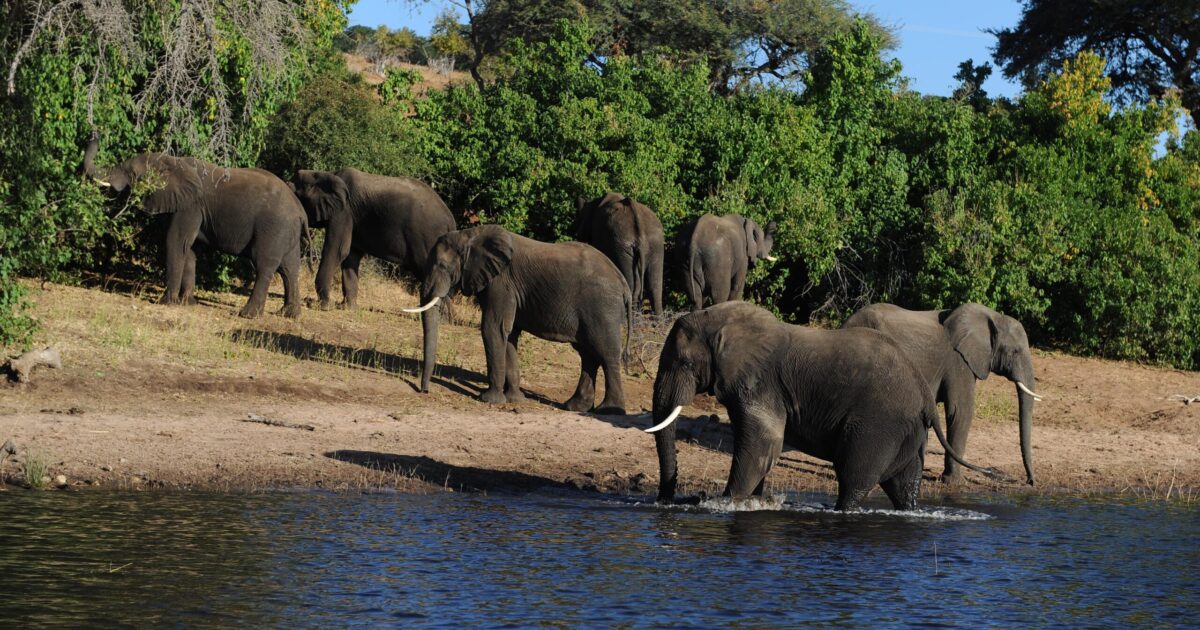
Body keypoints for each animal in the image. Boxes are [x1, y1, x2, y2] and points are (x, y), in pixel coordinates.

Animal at [83, 133, 306, 318]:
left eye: (130, 172)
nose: (95, 133)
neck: (173, 161)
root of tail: (300, 210)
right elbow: (188, 249)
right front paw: (187, 303)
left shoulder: (190, 205)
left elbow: (175, 241)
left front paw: (166, 303)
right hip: (288, 232)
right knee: (289, 268)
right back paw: (288, 314)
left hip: (274, 227)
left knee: (264, 265)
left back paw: (248, 315)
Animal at [289, 168, 457, 310]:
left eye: (295, 195)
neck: (325, 175)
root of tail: (451, 221)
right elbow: (350, 256)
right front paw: (347, 308)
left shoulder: (343, 212)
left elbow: (338, 250)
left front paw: (321, 305)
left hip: (426, 239)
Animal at [404, 225, 632, 413]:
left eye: (442, 266)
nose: (424, 391)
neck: (470, 235)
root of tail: (624, 284)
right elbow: (509, 333)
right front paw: (514, 400)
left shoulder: (501, 282)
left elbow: (493, 328)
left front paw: (489, 400)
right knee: (588, 355)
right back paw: (575, 407)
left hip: (603, 308)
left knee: (606, 353)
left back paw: (609, 410)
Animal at [646, 301, 993, 510]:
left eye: (684, 363)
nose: (667, 500)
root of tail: (923, 393)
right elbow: (761, 449)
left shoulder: (761, 384)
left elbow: (763, 443)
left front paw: (726, 501)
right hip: (907, 430)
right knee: (903, 484)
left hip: (880, 424)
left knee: (853, 477)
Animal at [842, 302, 1039, 485]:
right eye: (1015, 352)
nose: (1030, 481)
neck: (994, 317)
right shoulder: (959, 362)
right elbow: (960, 412)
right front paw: (955, 483)